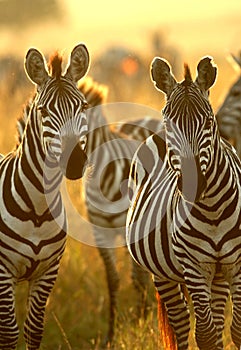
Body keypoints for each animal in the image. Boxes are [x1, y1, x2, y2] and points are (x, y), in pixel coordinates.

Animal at [0, 44, 90, 350]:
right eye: (43, 111)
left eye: (83, 106)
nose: (74, 162)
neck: (38, 209)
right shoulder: (3, 273)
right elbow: (9, 333)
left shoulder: (48, 272)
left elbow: (33, 330)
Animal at [126, 56, 239, 348]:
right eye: (170, 123)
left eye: (209, 122)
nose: (193, 184)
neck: (213, 210)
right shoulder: (194, 266)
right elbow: (206, 334)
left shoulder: (236, 264)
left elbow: (235, 329)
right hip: (162, 273)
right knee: (180, 323)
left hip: (218, 273)